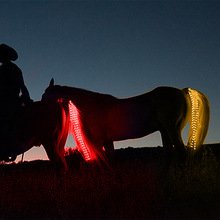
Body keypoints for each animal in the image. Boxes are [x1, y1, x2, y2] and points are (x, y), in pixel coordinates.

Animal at [41, 79, 210, 165]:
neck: (93, 106)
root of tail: (182, 91)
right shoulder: (108, 141)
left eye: (45, 95)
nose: (38, 106)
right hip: (165, 131)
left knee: (182, 154)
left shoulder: (98, 141)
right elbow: (111, 162)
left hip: (172, 129)